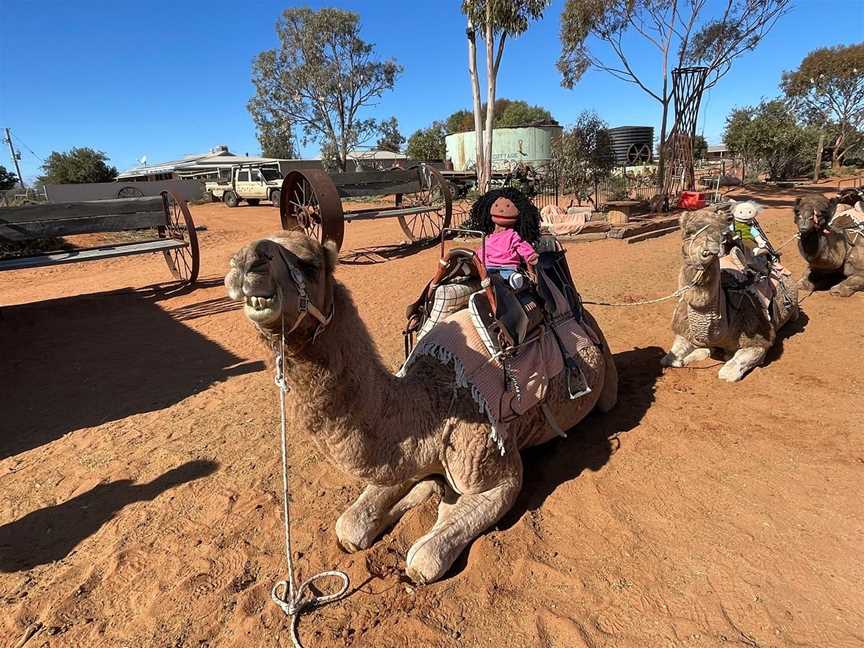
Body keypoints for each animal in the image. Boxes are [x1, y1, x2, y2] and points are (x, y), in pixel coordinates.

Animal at [226, 232, 616, 584]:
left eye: (309, 264)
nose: (245, 261)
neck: (432, 402)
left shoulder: (498, 473)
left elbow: (424, 559)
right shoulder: (408, 453)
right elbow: (350, 525)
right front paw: (412, 497)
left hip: (605, 379)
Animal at [664, 209, 800, 380]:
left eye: (720, 233)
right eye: (688, 232)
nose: (706, 251)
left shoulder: (759, 338)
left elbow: (727, 372)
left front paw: (724, 356)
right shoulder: (684, 329)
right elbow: (670, 358)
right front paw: (693, 355)